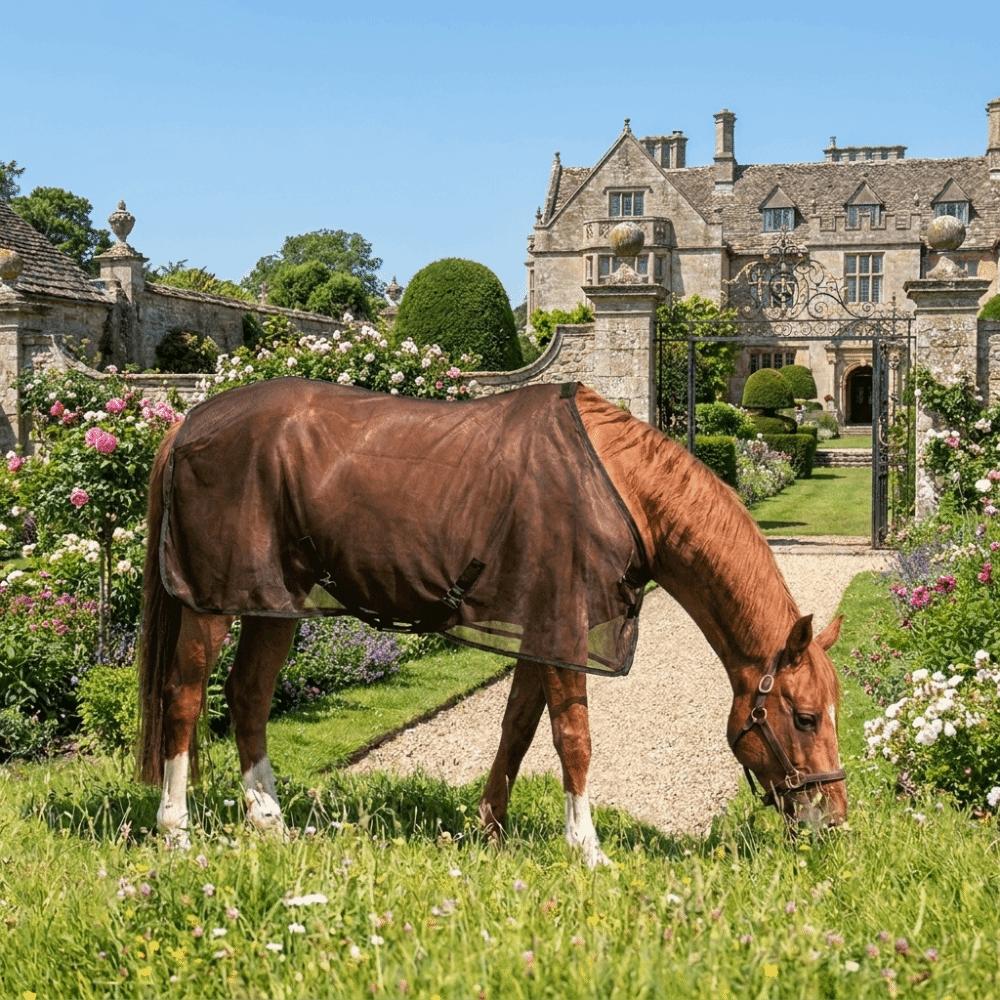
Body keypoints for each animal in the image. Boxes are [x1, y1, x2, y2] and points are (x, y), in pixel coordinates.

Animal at [138, 379, 846, 861]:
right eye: (807, 717)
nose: (834, 818)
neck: (620, 488)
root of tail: (188, 421)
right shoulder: (565, 628)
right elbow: (573, 738)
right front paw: (587, 849)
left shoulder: (543, 631)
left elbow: (519, 728)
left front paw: (492, 829)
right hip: (209, 604)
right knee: (187, 696)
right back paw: (176, 830)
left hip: (274, 603)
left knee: (248, 695)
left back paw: (270, 821)